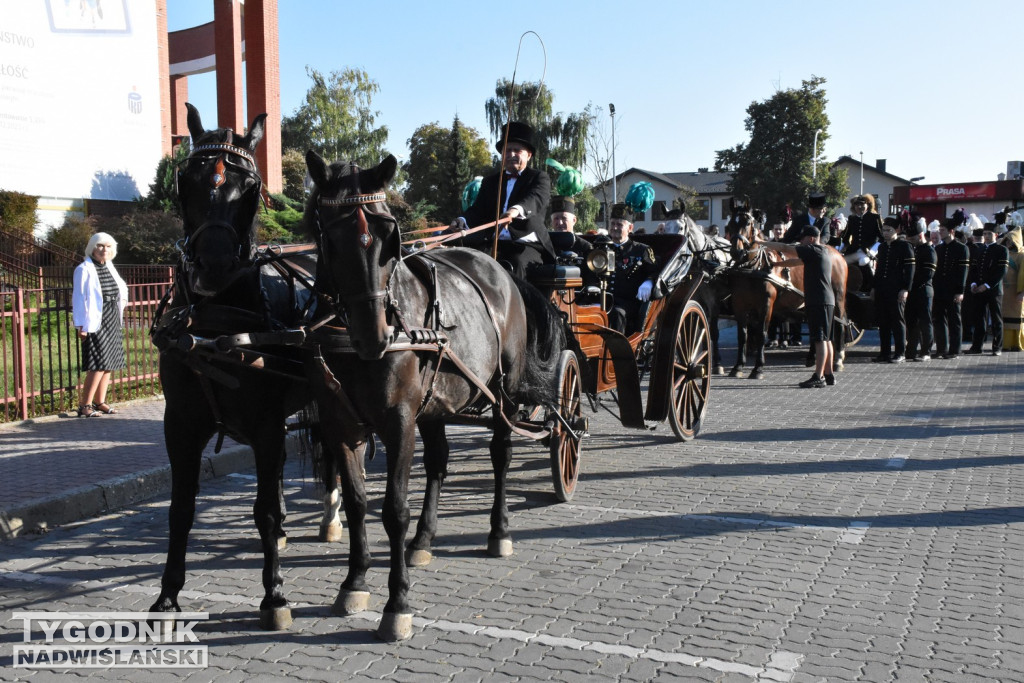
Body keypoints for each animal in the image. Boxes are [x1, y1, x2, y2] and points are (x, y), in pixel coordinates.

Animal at [148, 104, 315, 634]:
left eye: (252, 184)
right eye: (186, 179)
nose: (214, 266)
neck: (214, 324)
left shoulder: (266, 426)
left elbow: (264, 511)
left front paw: (274, 594)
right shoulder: (180, 423)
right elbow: (181, 508)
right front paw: (167, 595)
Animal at [303, 150, 565, 643]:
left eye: (389, 236)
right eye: (330, 237)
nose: (374, 336)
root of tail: (497, 268)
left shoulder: (399, 420)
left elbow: (393, 510)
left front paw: (397, 603)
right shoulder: (340, 424)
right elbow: (358, 502)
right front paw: (354, 583)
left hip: (501, 394)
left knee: (501, 455)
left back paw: (498, 532)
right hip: (436, 406)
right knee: (440, 461)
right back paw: (424, 541)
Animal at [720, 208, 847, 378]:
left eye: (747, 223)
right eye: (730, 225)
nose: (736, 251)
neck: (753, 268)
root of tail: (837, 254)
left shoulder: (766, 305)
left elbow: (762, 333)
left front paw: (758, 368)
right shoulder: (739, 305)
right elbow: (742, 335)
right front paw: (738, 366)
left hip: (838, 299)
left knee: (840, 325)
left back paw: (838, 358)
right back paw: (812, 357)